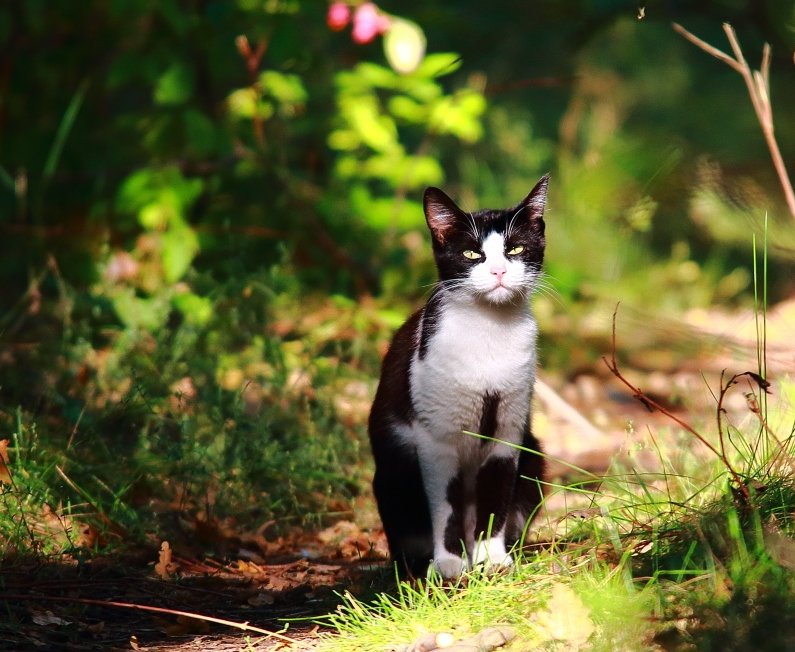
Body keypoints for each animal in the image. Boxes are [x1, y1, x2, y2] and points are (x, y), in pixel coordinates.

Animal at [370, 174, 552, 576]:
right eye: (472, 254)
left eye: (515, 249)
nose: (499, 272)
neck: (490, 333)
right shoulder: (436, 436)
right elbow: (445, 505)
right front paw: (449, 563)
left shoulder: (508, 431)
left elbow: (496, 497)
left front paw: (493, 558)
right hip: (393, 474)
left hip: (534, 456)